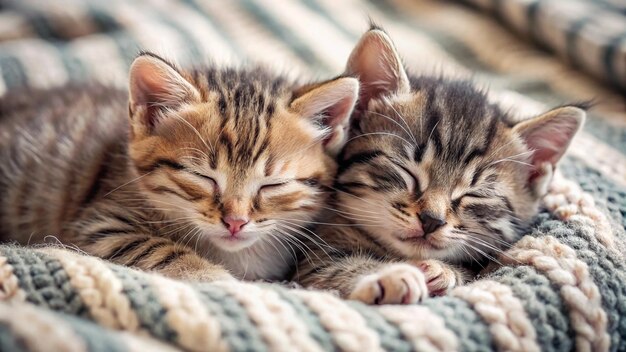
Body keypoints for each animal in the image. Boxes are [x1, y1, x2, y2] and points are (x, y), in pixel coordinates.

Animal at [0, 52, 358, 282]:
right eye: (202, 177)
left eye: (273, 185)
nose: (235, 223)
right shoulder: (98, 225)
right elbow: (158, 248)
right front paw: (212, 276)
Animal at [294, 27, 584, 304]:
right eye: (406, 171)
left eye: (476, 194)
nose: (431, 220)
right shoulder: (314, 256)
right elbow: (330, 268)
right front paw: (388, 275)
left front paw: (445, 271)